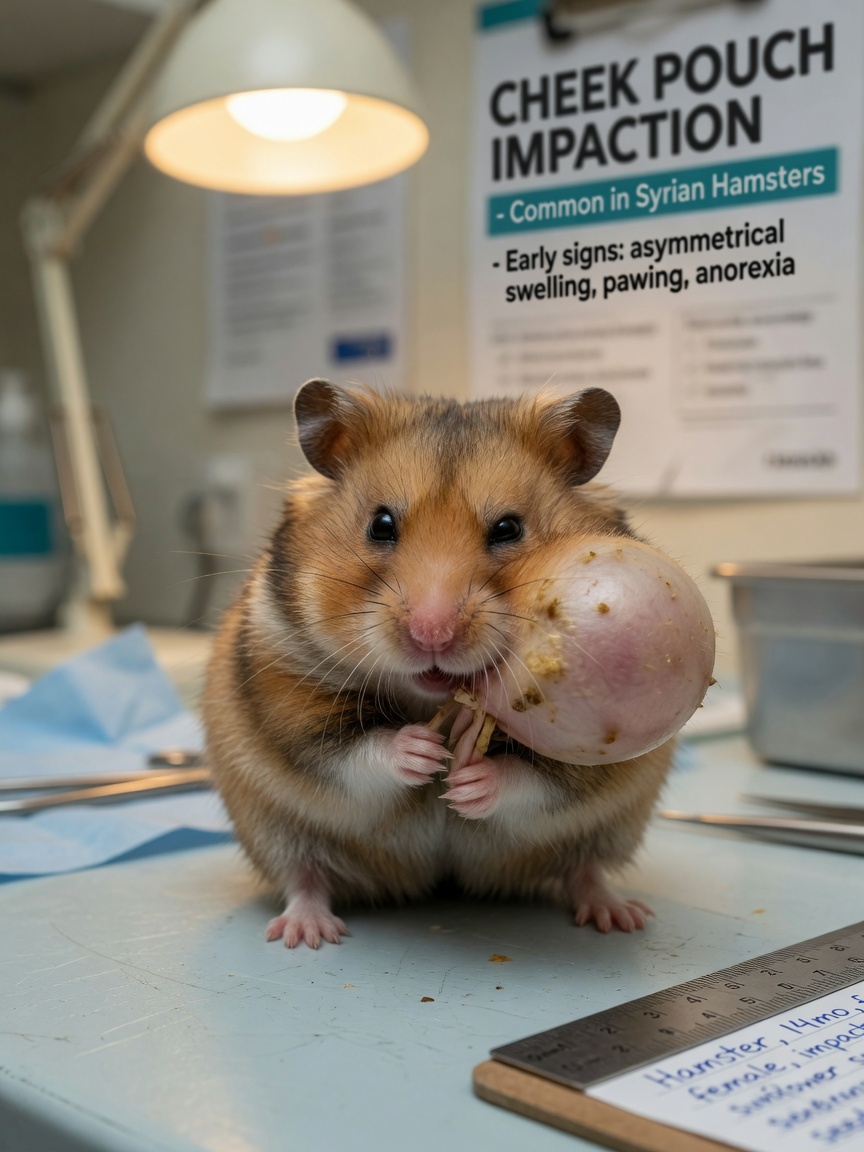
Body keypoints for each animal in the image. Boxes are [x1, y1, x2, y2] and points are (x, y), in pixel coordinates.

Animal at [203, 379, 672, 948]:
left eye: (509, 528)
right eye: (381, 524)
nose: (433, 634)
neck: (429, 699)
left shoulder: (594, 760)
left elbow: (535, 779)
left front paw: (466, 785)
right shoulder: (288, 693)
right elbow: (354, 749)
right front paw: (424, 753)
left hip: (612, 829)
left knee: (583, 869)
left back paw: (621, 917)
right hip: (273, 830)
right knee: (305, 876)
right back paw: (306, 934)